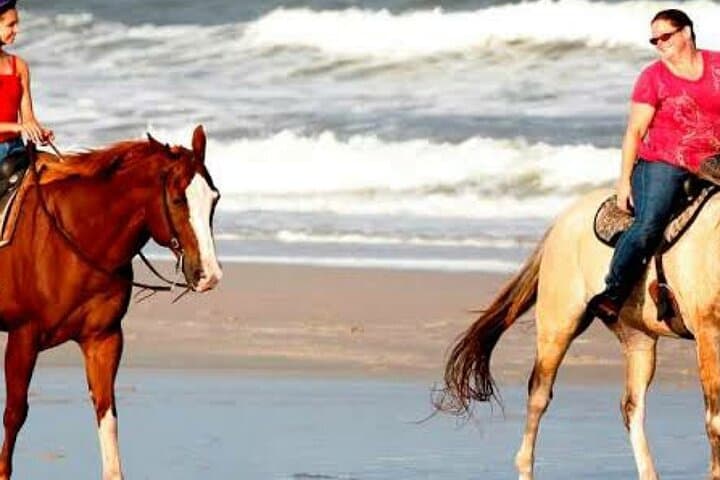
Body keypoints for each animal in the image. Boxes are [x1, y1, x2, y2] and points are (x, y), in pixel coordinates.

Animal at [0, 125, 222, 479]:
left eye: (215, 198)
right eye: (177, 199)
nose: (209, 274)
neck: (78, 235)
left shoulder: (103, 339)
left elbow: (107, 416)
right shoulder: (24, 336)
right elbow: (14, 413)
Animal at [436, 187, 720, 480]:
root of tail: (561, 221)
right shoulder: (708, 335)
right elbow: (715, 421)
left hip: (638, 338)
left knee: (632, 406)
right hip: (558, 326)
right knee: (538, 395)